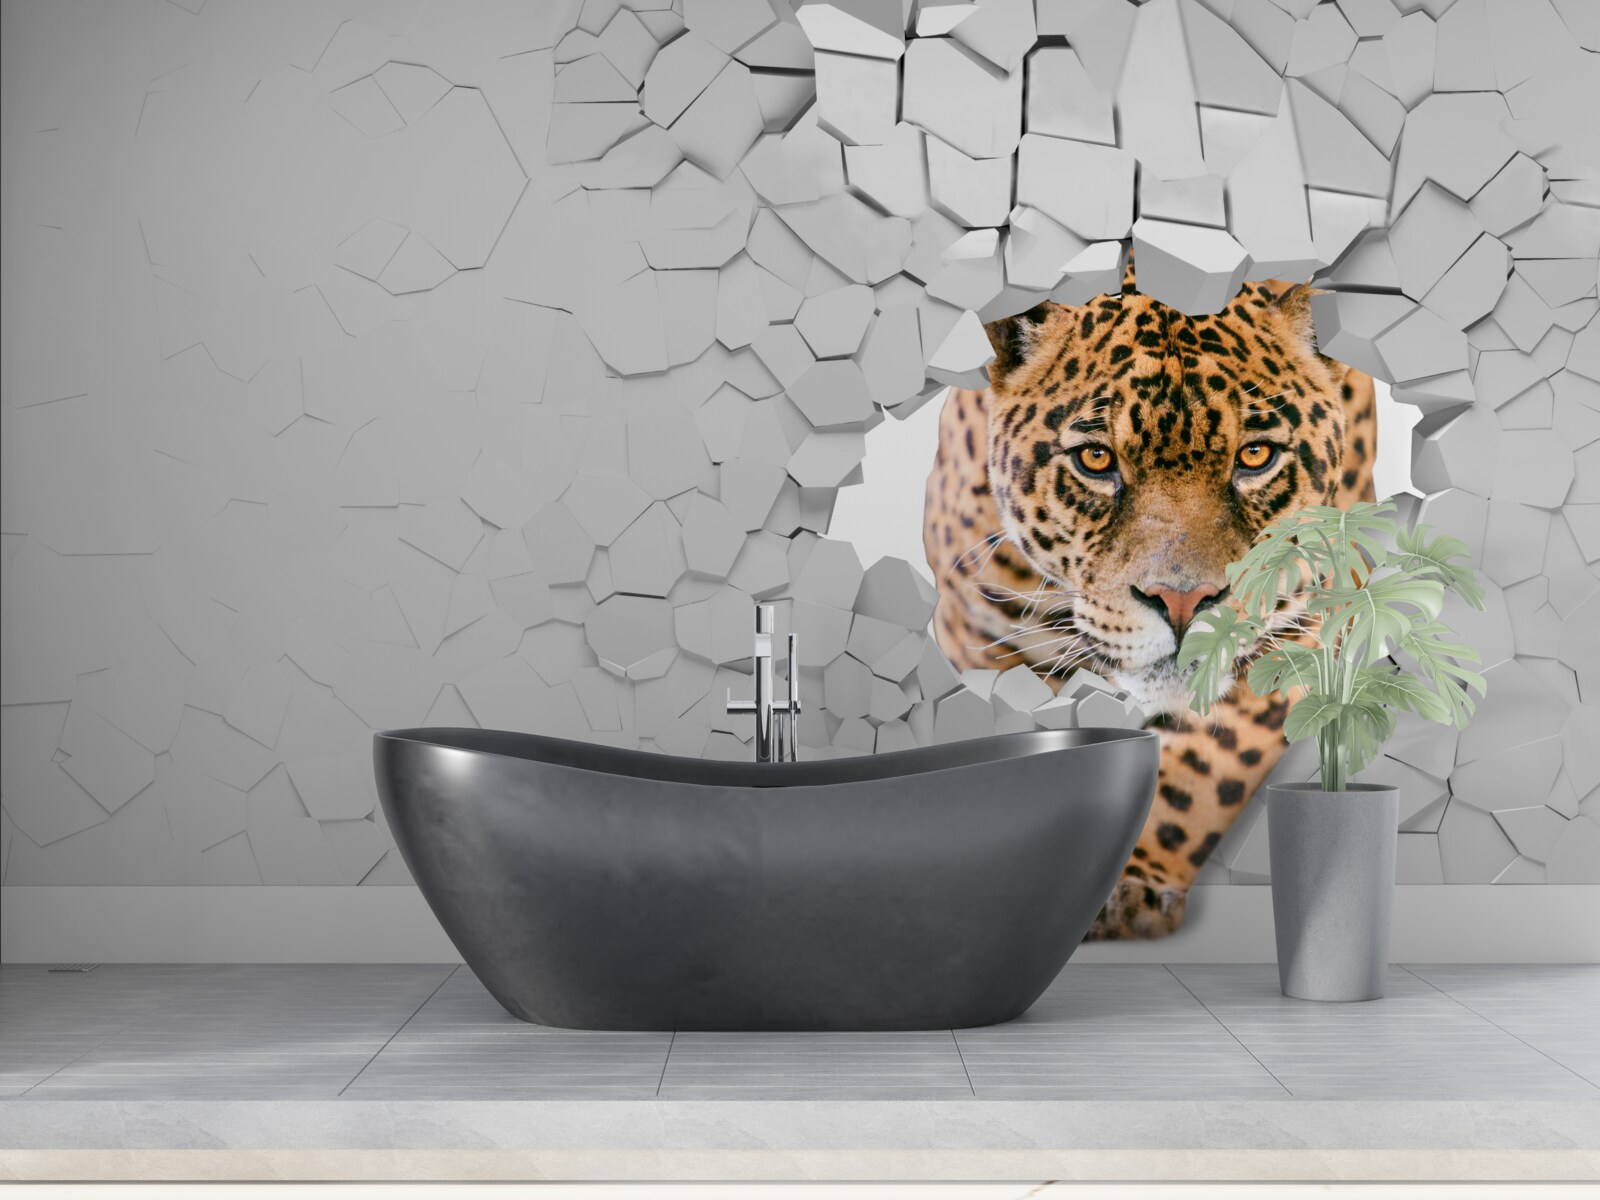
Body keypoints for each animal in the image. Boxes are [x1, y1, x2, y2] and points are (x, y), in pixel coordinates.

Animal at [922, 267, 1377, 940]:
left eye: (1255, 456)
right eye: (1096, 459)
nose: (1184, 603)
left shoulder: (1307, 620)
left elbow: (1202, 769)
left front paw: (1126, 877)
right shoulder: (982, 629)